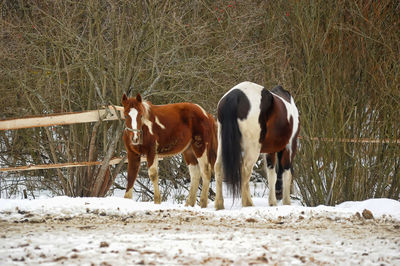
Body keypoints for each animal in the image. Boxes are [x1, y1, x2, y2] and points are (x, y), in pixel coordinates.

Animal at [214, 81, 298, 210]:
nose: (278, 195)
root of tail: (235, 96)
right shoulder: (290, 146)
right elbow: (286, 173)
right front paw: (286, 202)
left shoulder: (271, 151)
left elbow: (272, 175)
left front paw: (272, 202)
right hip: (253, 149)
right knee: (245, 169)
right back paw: (248, 203)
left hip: (222, 144)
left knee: (218, 167)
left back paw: (219, 204)